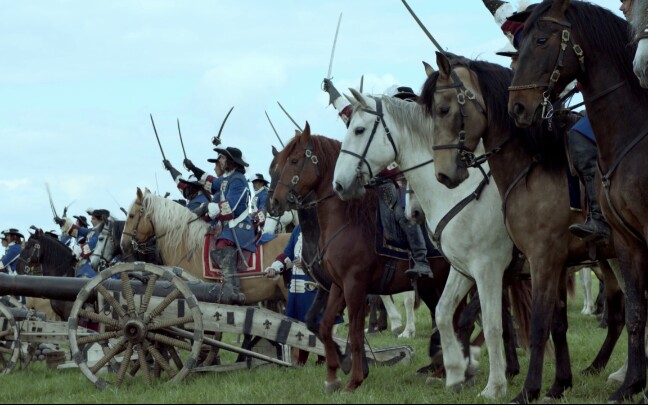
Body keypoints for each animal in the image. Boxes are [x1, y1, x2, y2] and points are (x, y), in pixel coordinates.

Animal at [268, 125, 456, 392]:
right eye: (274, 166)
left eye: (293, 161)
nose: (274, 203)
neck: (348, 219)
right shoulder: (337, 287)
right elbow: (322, 325)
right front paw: (335, 373)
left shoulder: (354, 287)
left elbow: (356, 334)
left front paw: (354, 378)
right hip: (432, 285)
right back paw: (441, 370)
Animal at [330, 92, 532, 398]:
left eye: (359, 130)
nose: (339, 184)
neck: (459, 193)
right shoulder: (463, 270)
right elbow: (444, 313)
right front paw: (455, 372)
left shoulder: (488, 269)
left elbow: (490, 324)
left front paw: (493, 387)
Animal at [420, 52, 624, 402]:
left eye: (444, 109)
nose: (444, 175)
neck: (534, 166)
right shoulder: (546, 263)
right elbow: (555, 322)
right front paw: (557, 385)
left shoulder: (523, 262)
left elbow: (516, 323)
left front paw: (512, 387)